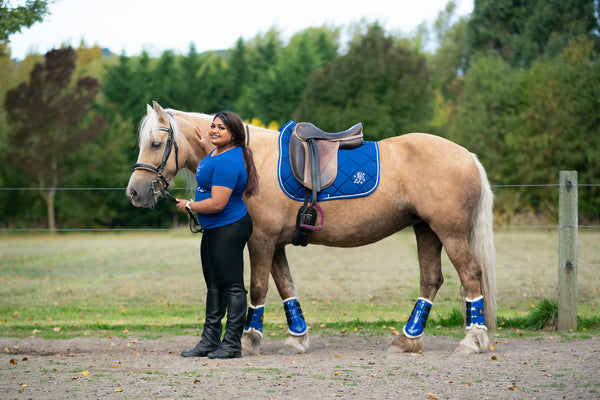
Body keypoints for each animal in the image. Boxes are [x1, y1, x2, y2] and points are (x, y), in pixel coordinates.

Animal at [126, 101, 496, 354]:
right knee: (431, 280)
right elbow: (286, 287)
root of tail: (468, 155)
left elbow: (258, 288)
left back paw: (473, 339)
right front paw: (297, 338)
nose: (135, 192)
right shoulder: (275, 244)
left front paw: (248, 340)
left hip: (449, 232)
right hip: (426, 230)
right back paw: (408, 340)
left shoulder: (260, 241)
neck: (249, 157)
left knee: (470, 275)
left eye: (155, 144)